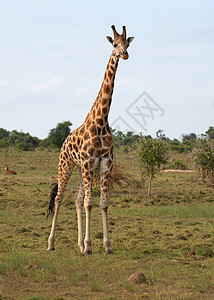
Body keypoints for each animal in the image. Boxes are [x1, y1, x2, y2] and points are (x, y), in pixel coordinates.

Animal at [47, 25, 134, 253]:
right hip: (67, 165)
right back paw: (51, 243)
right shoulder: (88, 163)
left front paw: (106, 246)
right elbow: (90, 202)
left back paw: (78, 243)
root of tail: (64, 142)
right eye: (115, 44)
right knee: (59, 198)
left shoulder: (104, 163)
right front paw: (88, 246)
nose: (125, 54)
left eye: (127, 43)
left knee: (76, 199)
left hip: (79, 169)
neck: (102, 121)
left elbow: (102, 202)